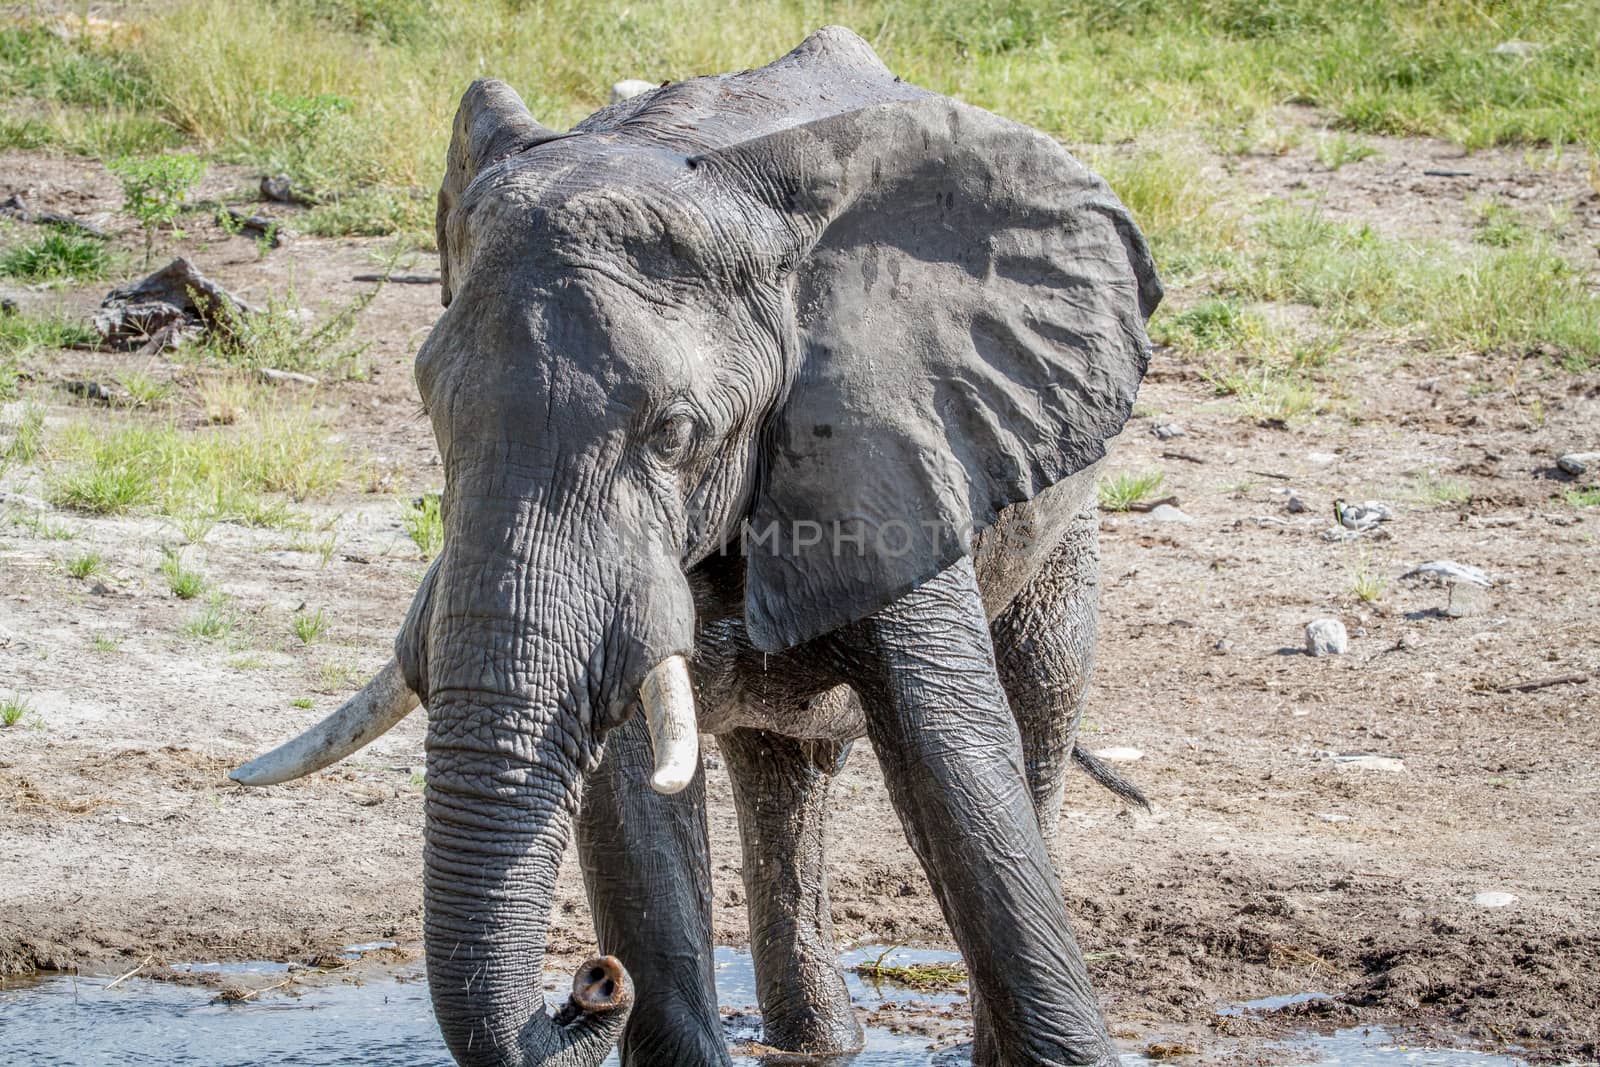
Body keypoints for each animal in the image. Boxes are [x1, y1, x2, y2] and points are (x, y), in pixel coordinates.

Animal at [233, 22, 1164, 1067]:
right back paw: (817, 1042)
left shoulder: (887, 434)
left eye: (675, 433)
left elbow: (950, 757)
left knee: (1037, 705)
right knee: (783, 774)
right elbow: (632, 789)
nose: (592, 980)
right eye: (431, 407)